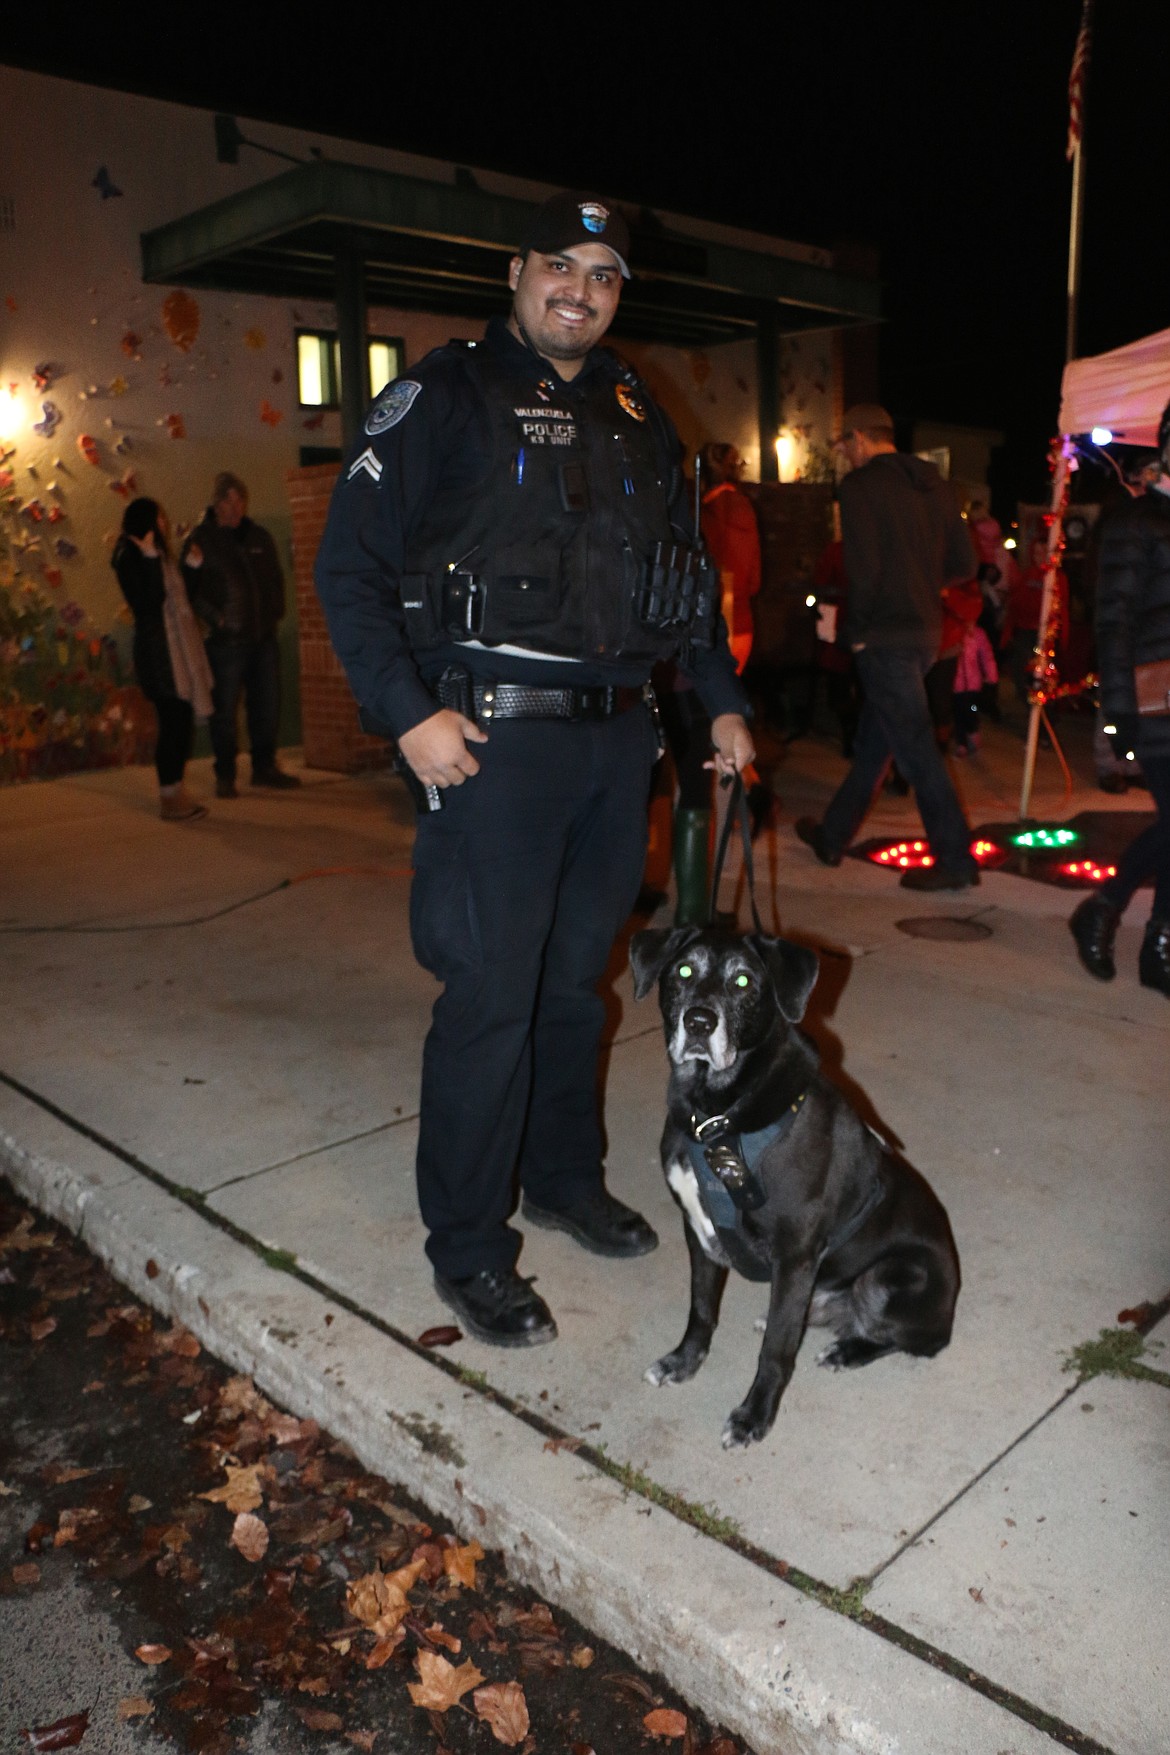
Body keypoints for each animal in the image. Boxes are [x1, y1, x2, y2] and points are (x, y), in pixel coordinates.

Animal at [631, 926, 961, 1446]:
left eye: (744, 981)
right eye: (683, 970)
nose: (699, 1022)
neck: (716, 1115)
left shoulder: (796, 1254)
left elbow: (775, 1351)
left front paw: (753, 1417)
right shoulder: (697, 1230)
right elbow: (701, 1309)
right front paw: (683, 1362)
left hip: (889, 1276)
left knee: (917, 1340)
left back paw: (848, 1350)